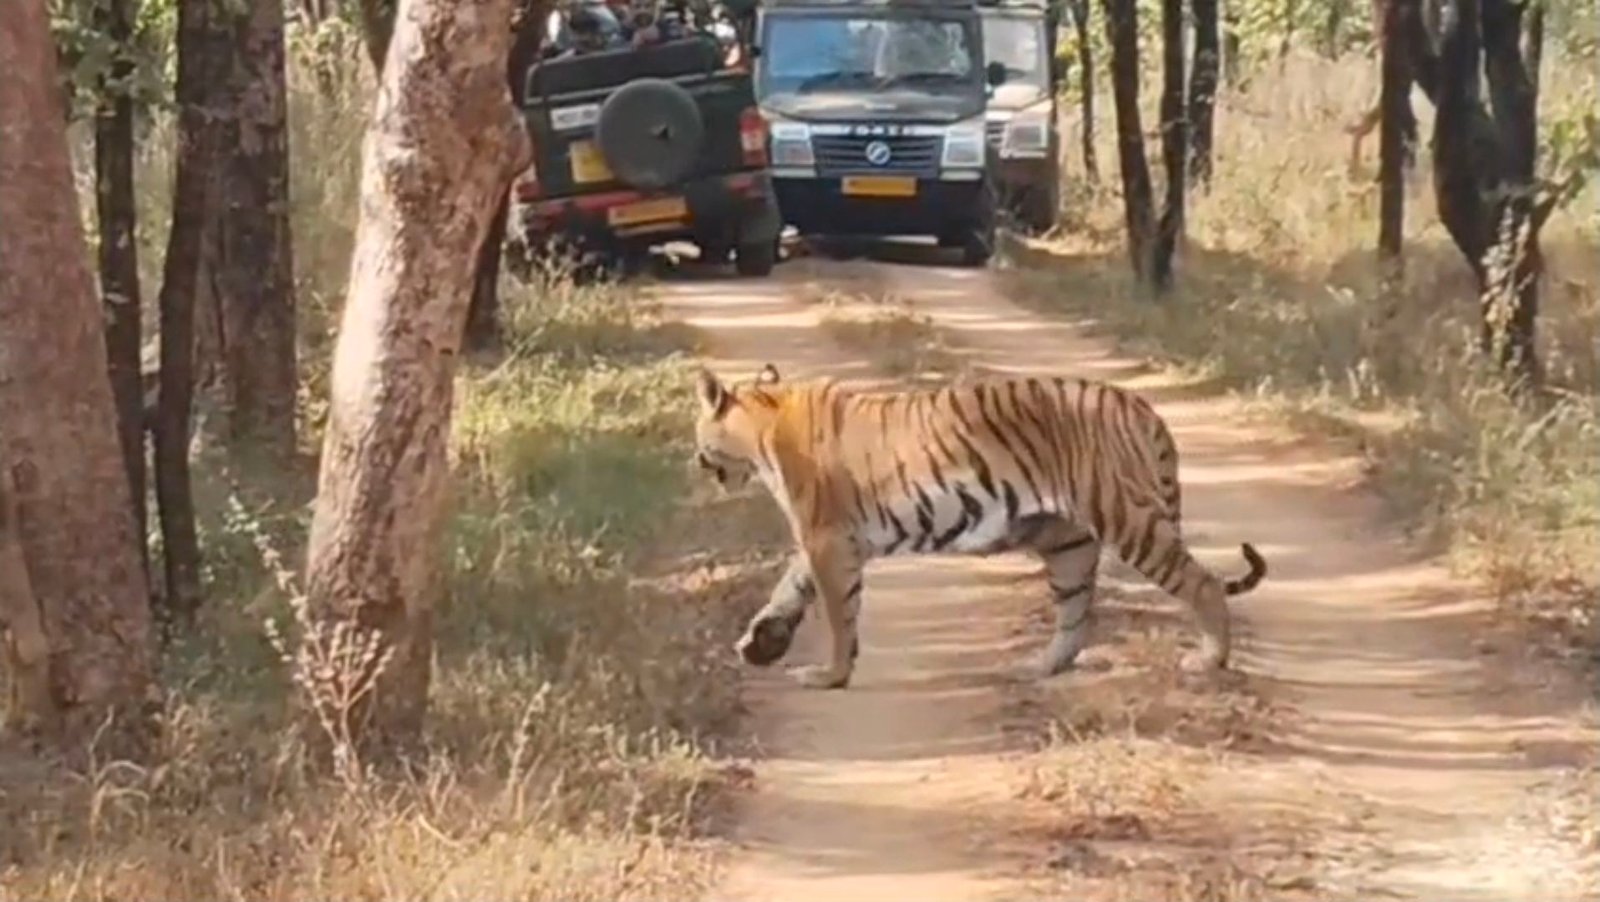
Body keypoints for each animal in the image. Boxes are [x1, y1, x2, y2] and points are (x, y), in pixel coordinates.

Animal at [692, 363, 1266, 690]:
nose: (696, 460)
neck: (763, 422)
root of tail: (1141, 405)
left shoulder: (827, 537)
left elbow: (838, 615)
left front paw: (829, 675)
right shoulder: (828, 539)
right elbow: (791, 586)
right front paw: (761, 643)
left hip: (1129, 518)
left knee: (1204, 584)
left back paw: (1208, 662)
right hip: (1069, 544)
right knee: (1076, 615)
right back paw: (1038, 668)